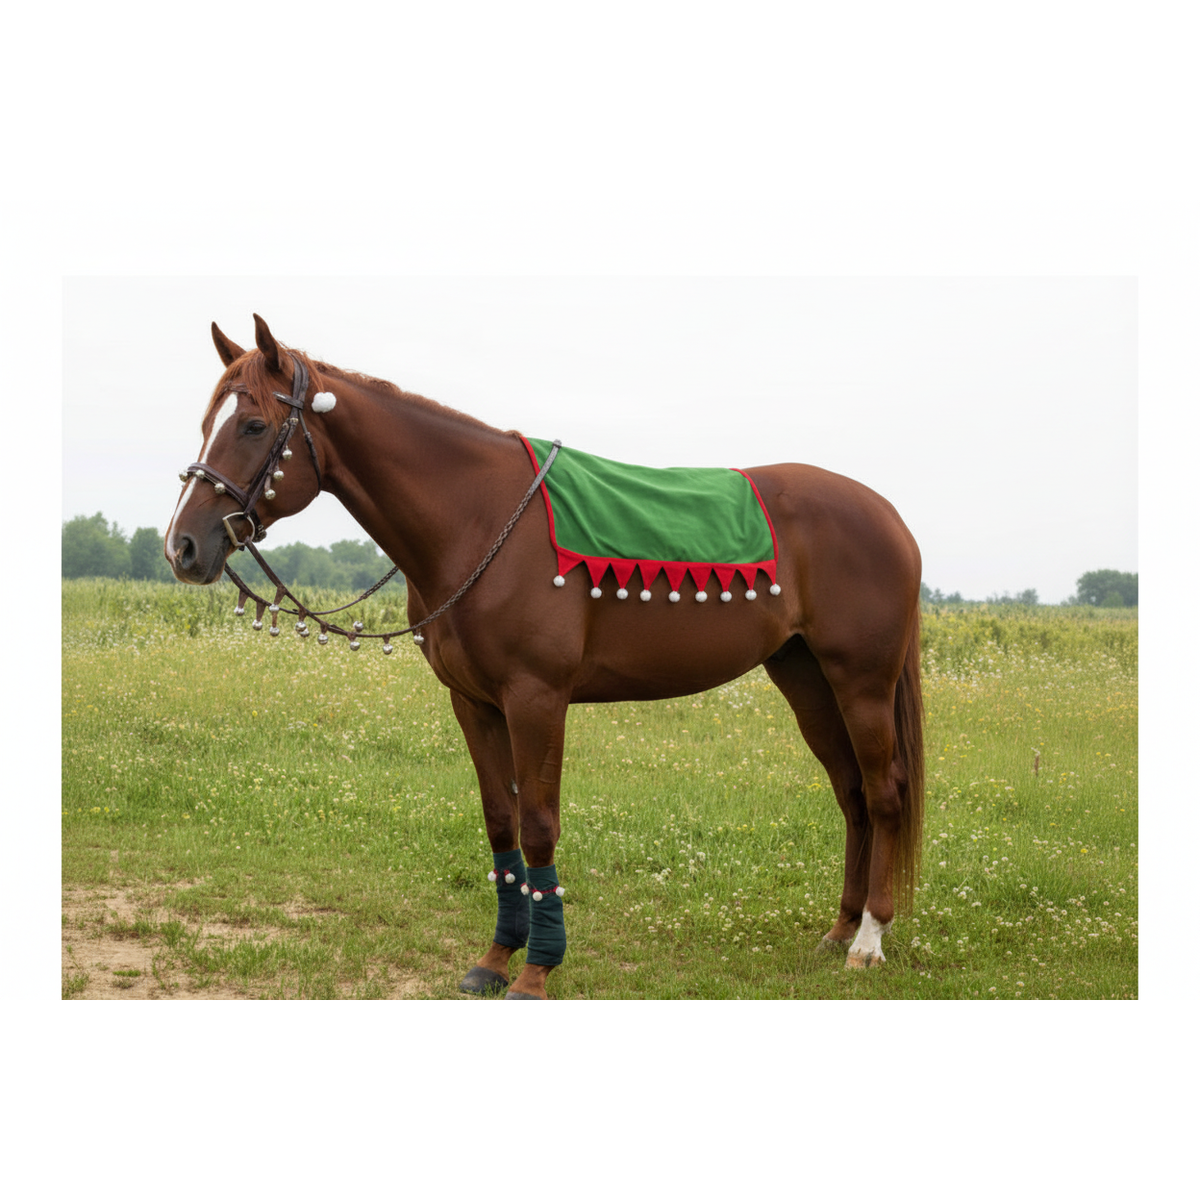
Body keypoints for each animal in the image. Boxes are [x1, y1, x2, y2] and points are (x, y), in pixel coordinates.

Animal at [165, 314, 925, 999]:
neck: (478, 519)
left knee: (884, 794)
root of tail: (888, 515)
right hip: (805, 677)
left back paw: (868, 942)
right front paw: (496, 958)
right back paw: (839, 929)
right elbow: (500, 823)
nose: (183, 547)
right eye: (207, 422)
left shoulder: (537, 699)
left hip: (860, 681)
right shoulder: (473, 703)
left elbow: (537, 828)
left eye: (253, 426)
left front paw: (537, 970)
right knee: (852, 795)